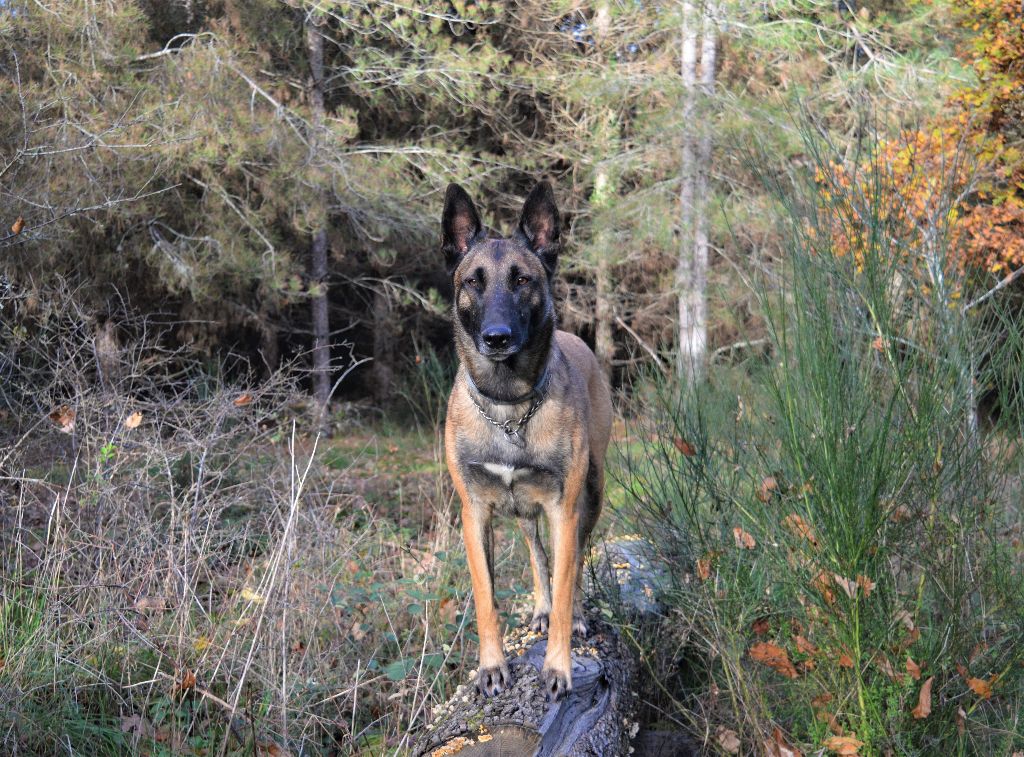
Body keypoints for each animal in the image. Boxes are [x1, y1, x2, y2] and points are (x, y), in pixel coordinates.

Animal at [438, 180, 606, 700]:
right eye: (473, 281)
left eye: (522, 280)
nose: (497, 338)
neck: (509, 405)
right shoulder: (475, 514)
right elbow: (486, 597)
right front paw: (492, 667)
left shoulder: (564, 508)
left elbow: (568, 579)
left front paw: (558, 666)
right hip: (528, 513)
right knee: (536, 554)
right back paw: (540, 607)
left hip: (590, 496)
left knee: (577, 560)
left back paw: (573, 617)